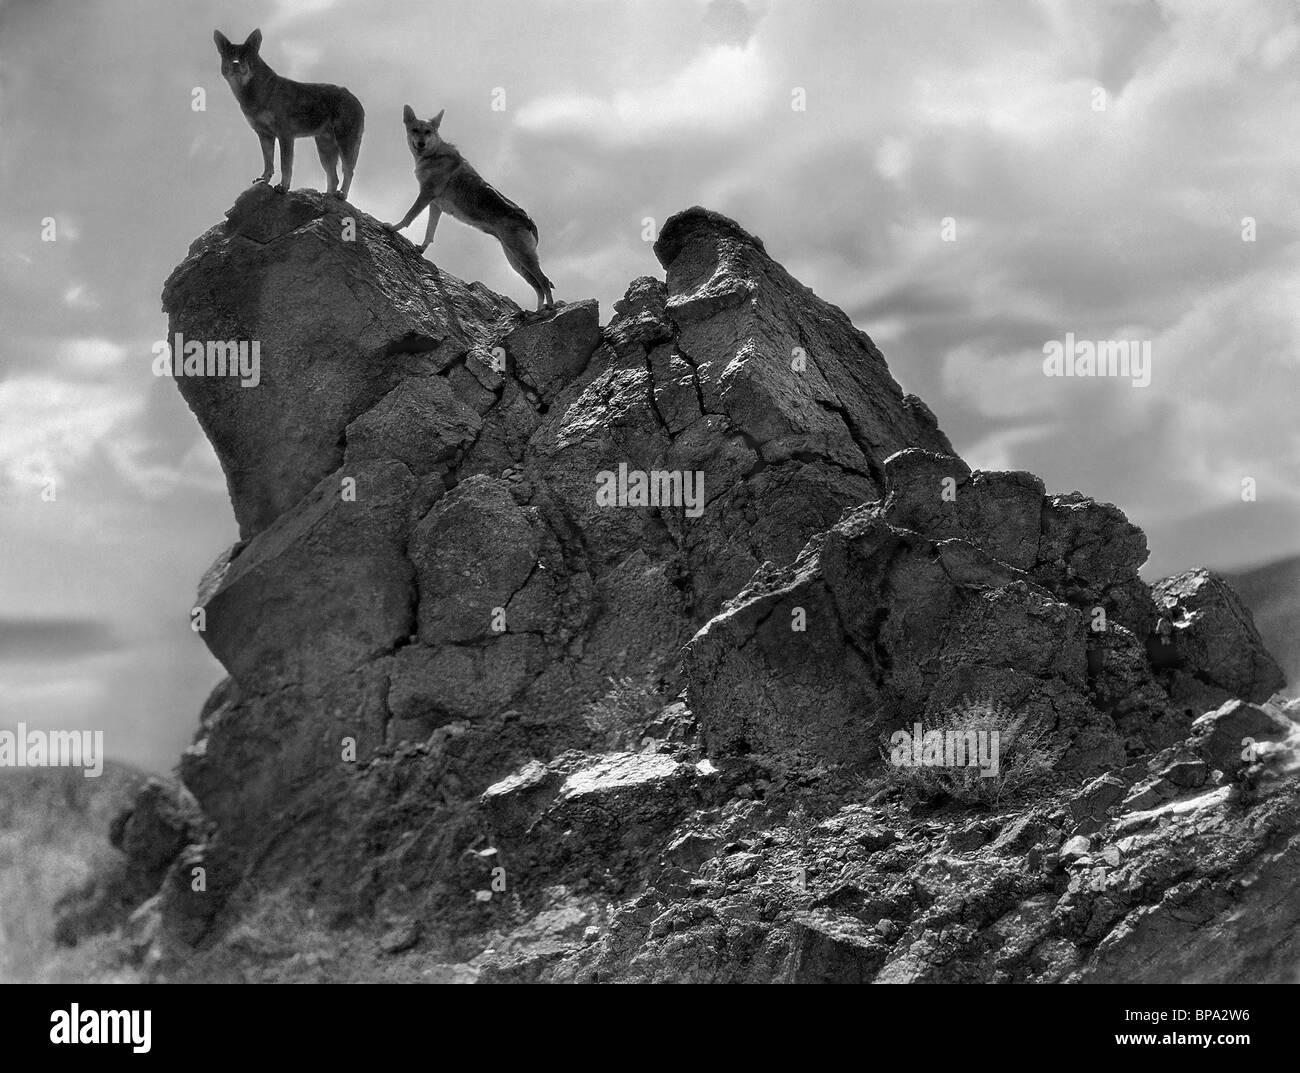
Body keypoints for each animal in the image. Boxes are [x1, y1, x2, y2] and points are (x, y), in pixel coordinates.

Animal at [213, 27, 364, 197]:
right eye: (230, 56)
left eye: (245, 56)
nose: (235, 64)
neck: (260, 93)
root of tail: (355, 99)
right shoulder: (264, 135)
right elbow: (268, 162)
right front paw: (264, 179)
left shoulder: (285, 135)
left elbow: (285, 165)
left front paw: (283, 187)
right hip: (325, 151)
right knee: (334, 178)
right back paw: (327, 195)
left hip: (345, 144)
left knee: (348, 172)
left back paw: (341, 195)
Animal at [382, 107, 551, 312]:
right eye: (415, 130)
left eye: (428, 132)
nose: (421, 144)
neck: (433, 154)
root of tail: (530, 221)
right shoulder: (435, 205)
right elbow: (430, 233)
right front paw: (421, 249)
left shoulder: (426, 195)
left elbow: (408, 216)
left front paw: (392, 228)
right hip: (515, 261)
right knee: (538, 285)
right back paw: (538, 311)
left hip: (521, 257)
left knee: (544, 281)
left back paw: (550, 309)